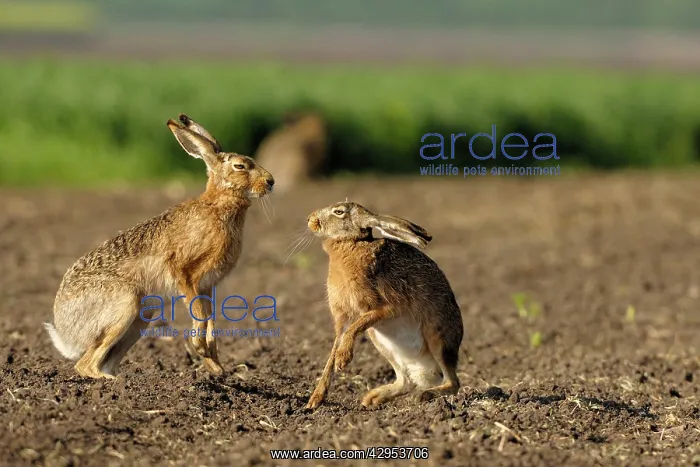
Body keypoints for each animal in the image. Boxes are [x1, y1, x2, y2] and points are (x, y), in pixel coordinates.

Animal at [44, 114, 275, 379]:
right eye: (240, 166)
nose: (271, 182)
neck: (218, 206)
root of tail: (65, 332)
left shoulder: (207, 286)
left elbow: (211, 320)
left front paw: (215, 365)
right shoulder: (185, 273)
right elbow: (199, 314)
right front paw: (200, 349)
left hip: (141, 319)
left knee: (104, 360)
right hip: (125, 304)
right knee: (85, 364)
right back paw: (109, 381)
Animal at [305, 201, 464, 409]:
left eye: (339, 212)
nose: (310, 219)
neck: (351, 243)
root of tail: (426, 371)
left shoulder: (388, 307)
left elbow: (353, 329)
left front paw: (343, 359)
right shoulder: (343, 317)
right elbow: (334, 350)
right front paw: (314, 400)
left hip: (437, 338)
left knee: (453, 382)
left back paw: (423, 395)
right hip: (380, 341)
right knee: (405, 381)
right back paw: (373, 398)